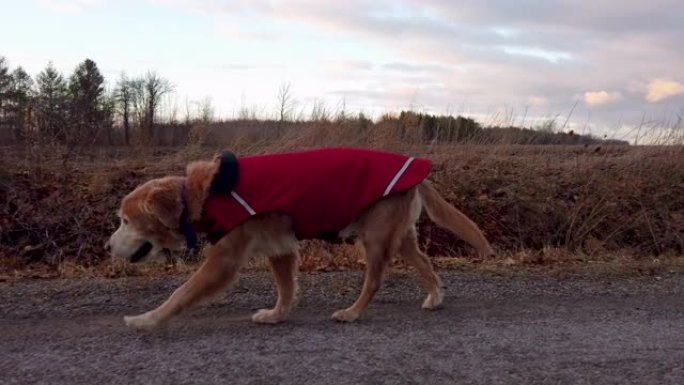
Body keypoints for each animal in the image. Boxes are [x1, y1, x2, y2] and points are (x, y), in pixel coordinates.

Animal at [105, 146, 492, 328]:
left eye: (125, 220)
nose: (107, 246)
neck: (206, 193)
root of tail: (420, 169)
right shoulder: (279, 248)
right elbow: (286, 288)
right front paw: (276, 316)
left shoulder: (224, 260)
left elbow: (180, 293)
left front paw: (146, 320)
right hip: (401, 236)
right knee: (425, 263)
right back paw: (435, 298)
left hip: (375, 237)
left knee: (374, 281)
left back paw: (352, 313)